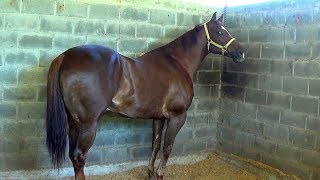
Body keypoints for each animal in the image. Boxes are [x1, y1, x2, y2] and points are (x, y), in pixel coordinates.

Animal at [45, 12, 245, 180]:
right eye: (220, 32)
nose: (241, 52)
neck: (177, 63)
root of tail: (65, 56)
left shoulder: (159, 118)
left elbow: (155, 145)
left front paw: (150, 173)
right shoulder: (177, 116)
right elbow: (167, 148)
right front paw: (160, 175)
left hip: (73, 123)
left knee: (72, 156)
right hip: (88, 124)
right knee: (79, 157)